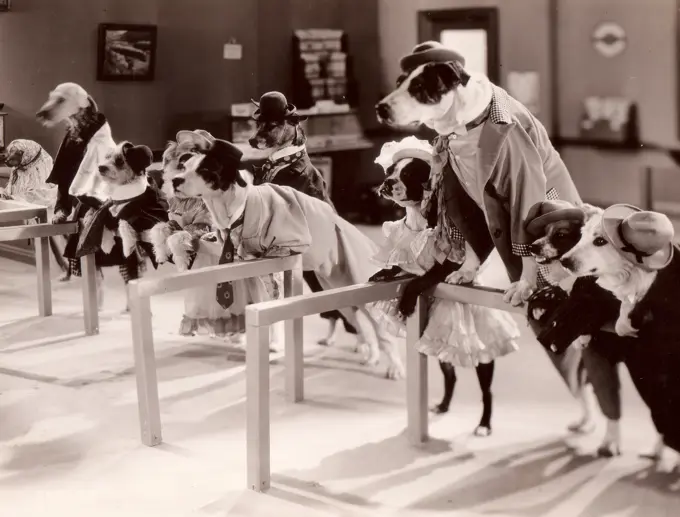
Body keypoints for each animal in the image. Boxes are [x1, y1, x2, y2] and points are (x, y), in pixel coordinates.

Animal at [248, 90, 366, 348]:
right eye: (257, 123)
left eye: (272, 125)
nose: (251, 141)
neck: (282, 160)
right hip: (316, 280)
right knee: (334, 313)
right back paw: (331, 339)